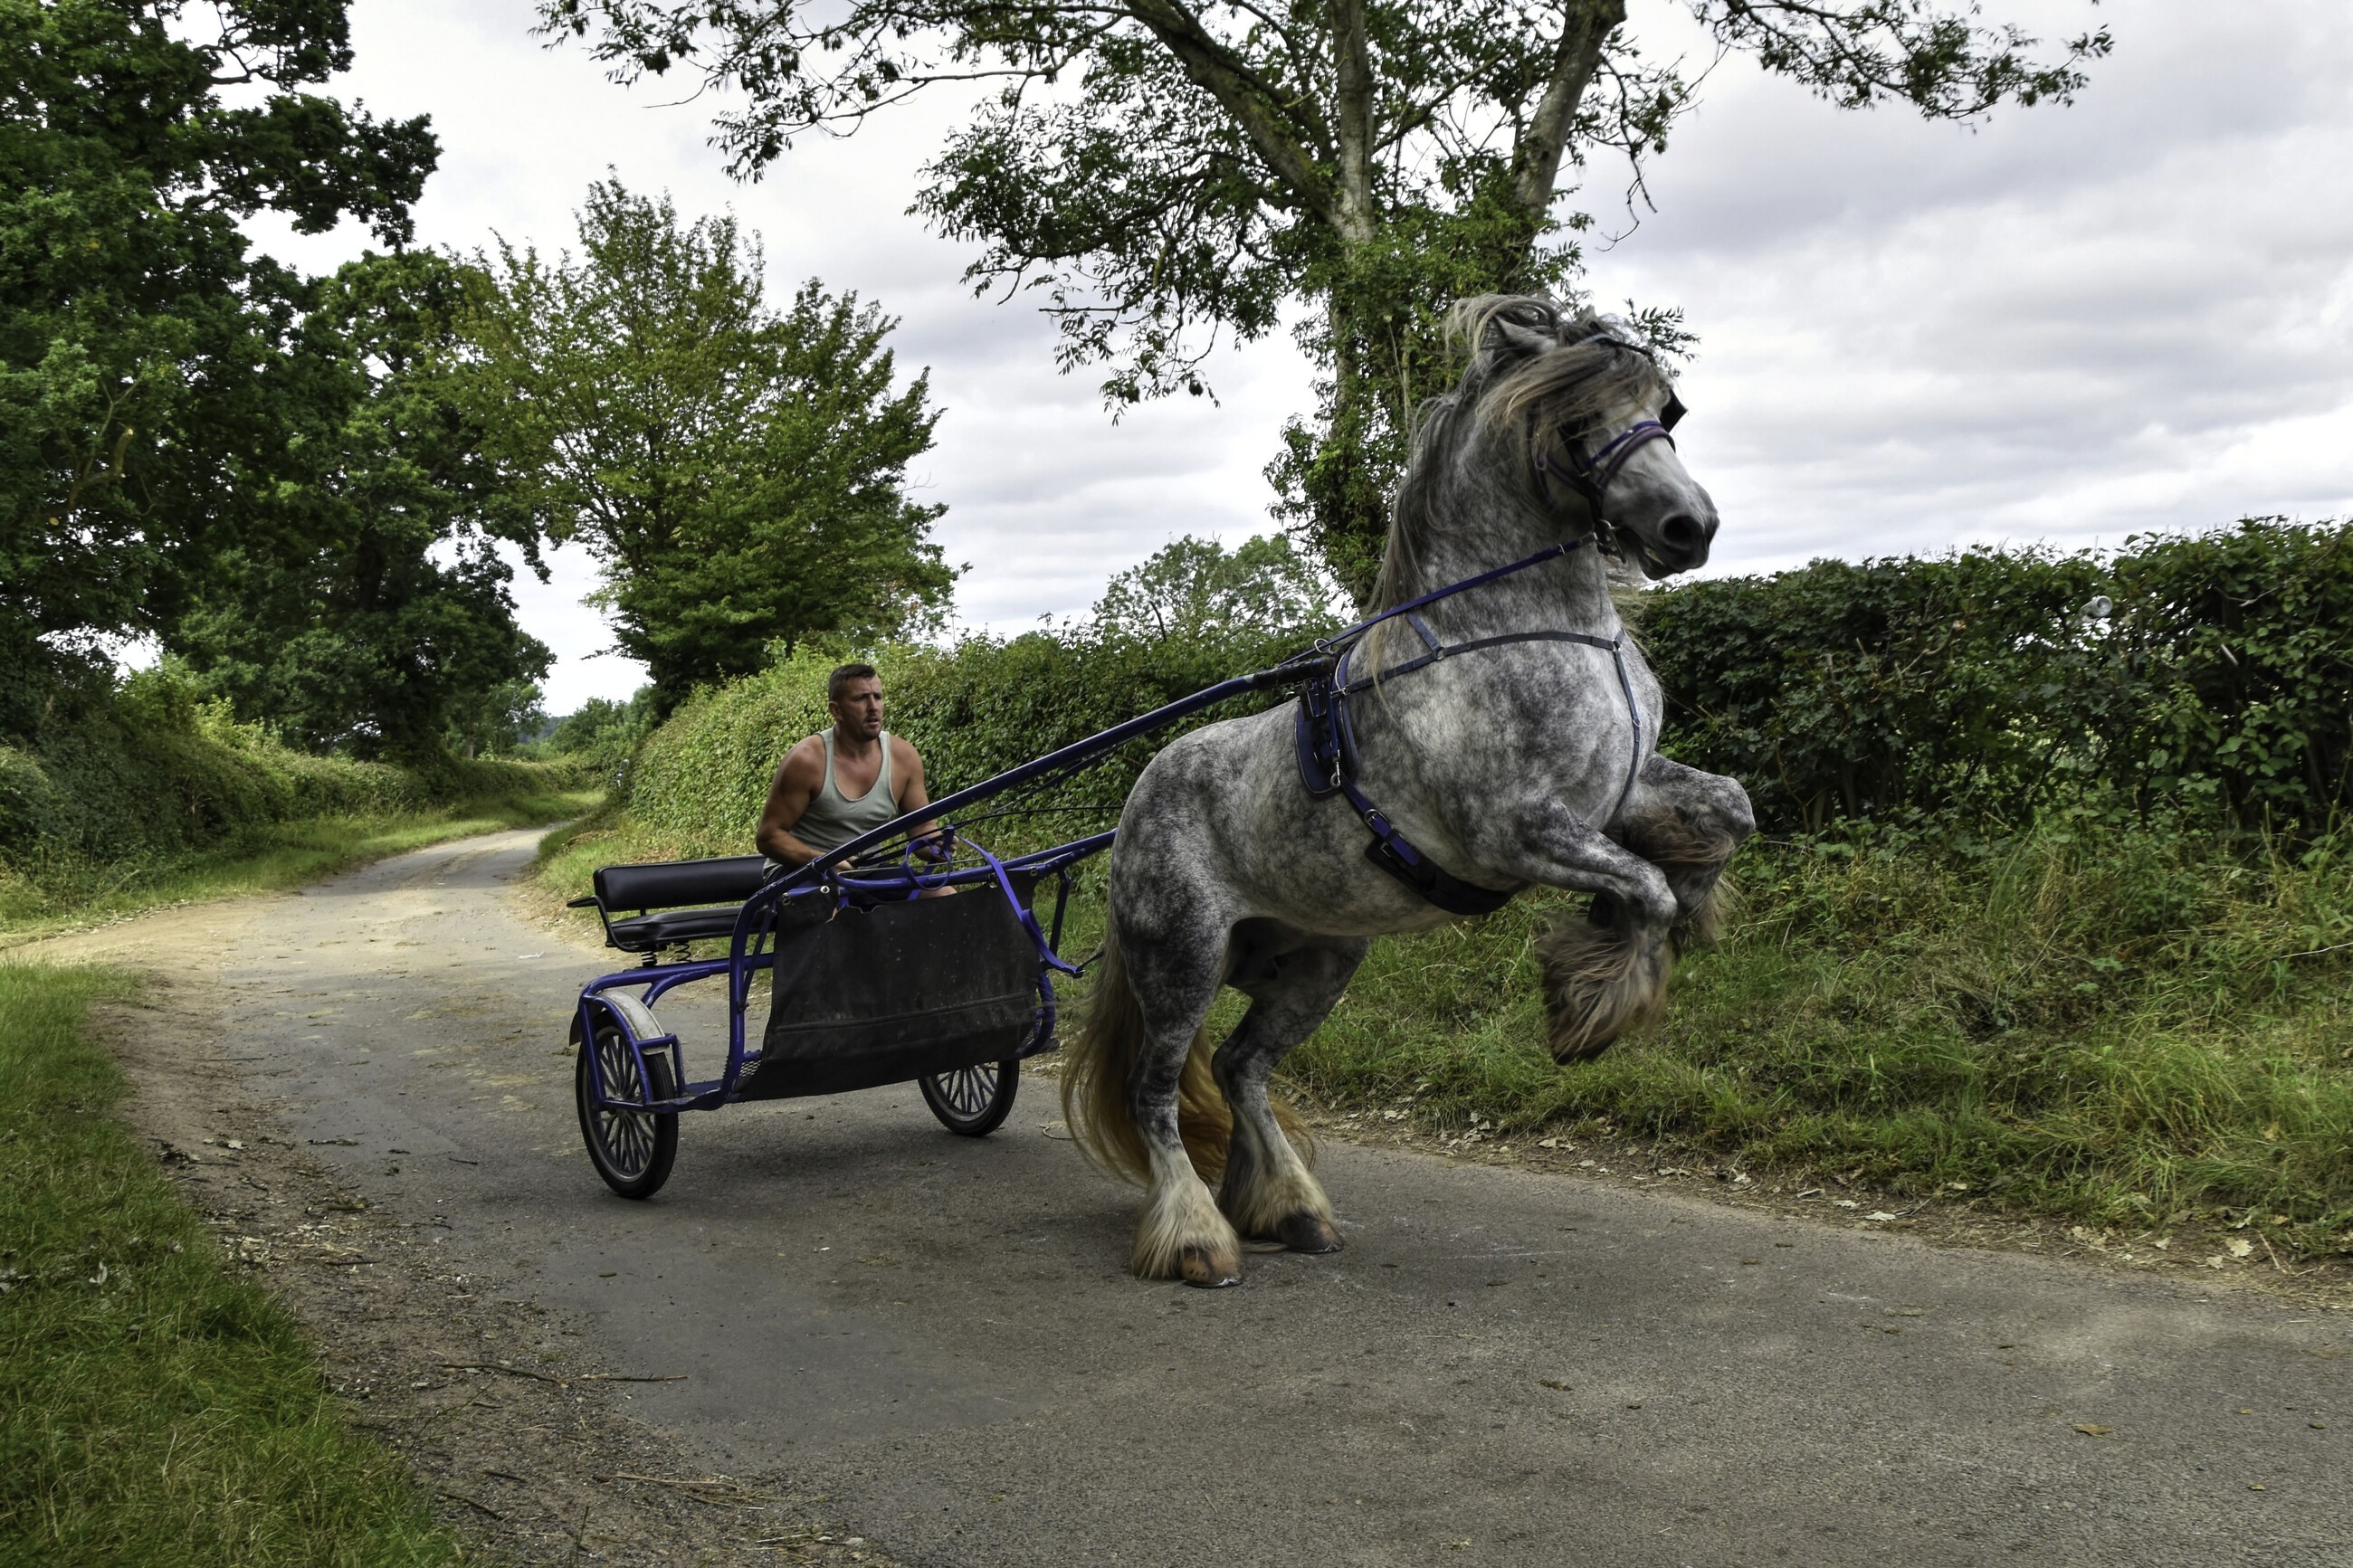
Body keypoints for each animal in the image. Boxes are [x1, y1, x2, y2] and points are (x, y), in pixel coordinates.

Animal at [1063, 293, 1750, 1288]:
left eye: (1668, 408)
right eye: (1574, 416)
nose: (1686, 527)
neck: (1526, 629)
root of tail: (1138, 796)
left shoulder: (1617, 794)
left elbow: (1725, 813)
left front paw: (1671, 924)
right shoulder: (1521, 829)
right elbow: (1646, 888)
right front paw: (1589, 1007)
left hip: (1317, 963)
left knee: (1239, 1067)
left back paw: (1291, 1209)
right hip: (1181, 958)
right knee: (1154, 1091)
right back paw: (1197, 1236)